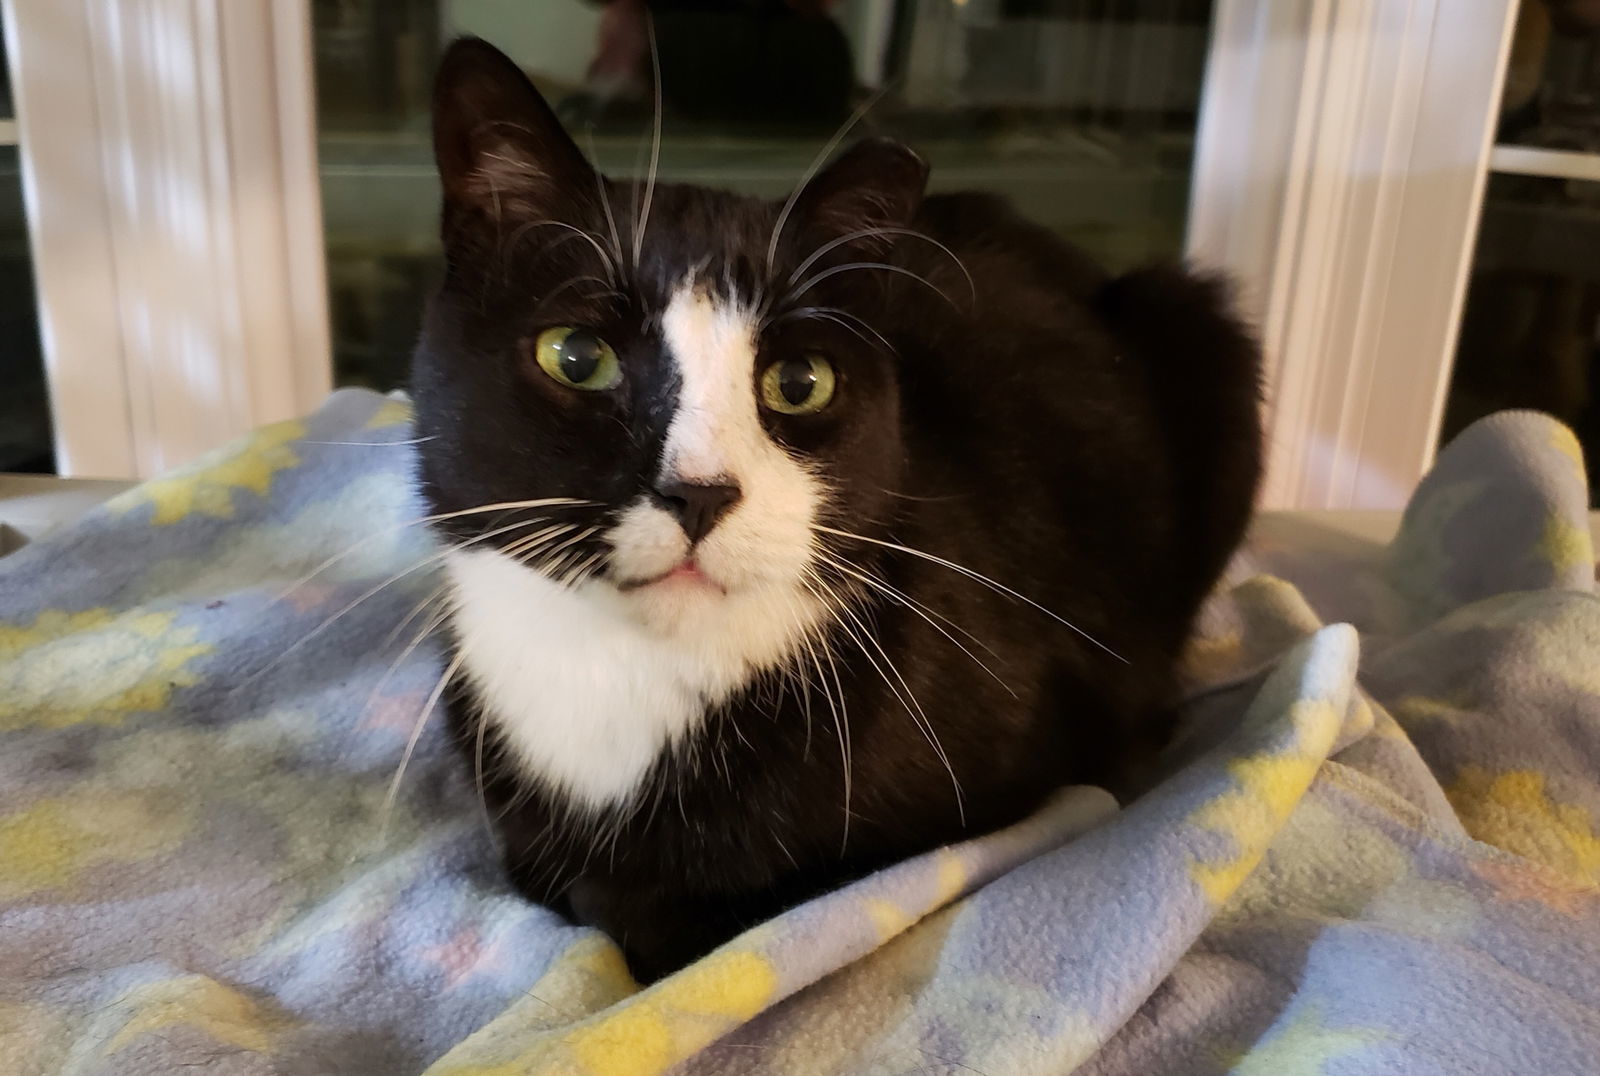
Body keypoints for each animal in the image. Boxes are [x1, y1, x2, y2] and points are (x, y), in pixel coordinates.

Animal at [409, 35, 1260, 986]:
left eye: (799, 381)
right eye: (576, 356)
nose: (700, 491)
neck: (626, 677)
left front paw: (647, 908)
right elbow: (547, 871)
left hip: (1200, 329)